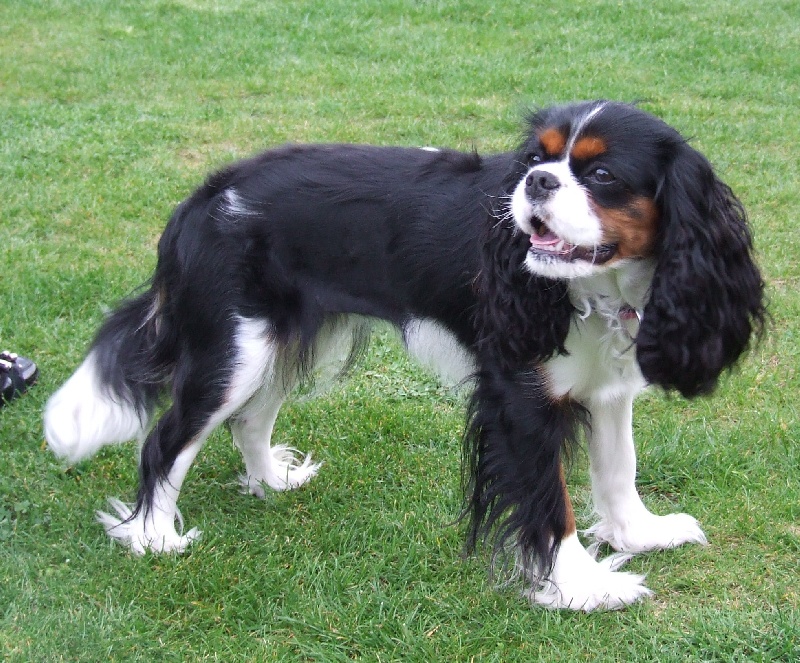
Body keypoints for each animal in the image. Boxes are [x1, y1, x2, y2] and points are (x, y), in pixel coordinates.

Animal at [44, 101, 764, 611]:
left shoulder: (610, 387)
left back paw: (271, 480)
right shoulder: (519, 396)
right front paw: (583, 587)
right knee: (166, 440)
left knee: (249, 419)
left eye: (604, 174)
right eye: (539, 158)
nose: (535, 181)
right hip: (234, 349)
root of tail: (203, 196)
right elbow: (549, 501)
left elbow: (619, 470)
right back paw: (153, 536)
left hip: (284, 337)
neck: (593, 289)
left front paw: (639, 534)